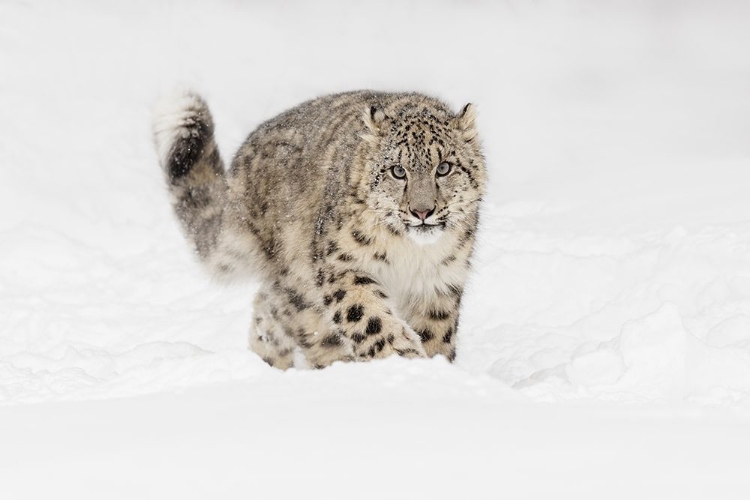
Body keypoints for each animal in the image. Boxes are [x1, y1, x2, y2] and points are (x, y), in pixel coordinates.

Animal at [154, 92, 488, 370]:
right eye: (397, 170)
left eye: (444, 167)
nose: (422, 211)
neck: (411, 255)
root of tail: (239, 172)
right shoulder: (342, 265)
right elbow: (368, 318)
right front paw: (403, 359)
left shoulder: (439, 281)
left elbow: (435, 330)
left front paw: (433, 367)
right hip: (297, 280)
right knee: (308, 326)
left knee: (266, 307)